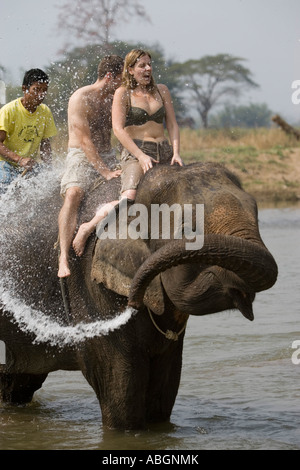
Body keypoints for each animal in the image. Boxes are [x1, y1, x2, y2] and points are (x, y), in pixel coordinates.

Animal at [0, 162, 278, 430]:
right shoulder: (92, 288)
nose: (133, 300)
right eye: (188, 230)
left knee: (19, 380)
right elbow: (121, 392)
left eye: (256, 213)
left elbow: (165, 389)